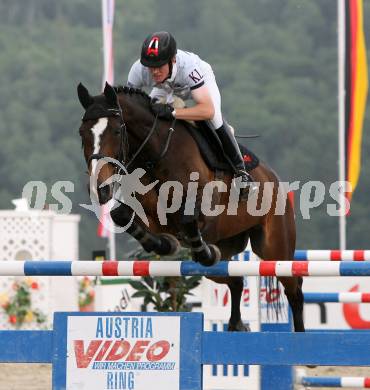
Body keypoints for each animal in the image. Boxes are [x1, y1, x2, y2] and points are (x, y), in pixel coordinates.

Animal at [76, 82, 304, 332]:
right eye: (82, 133)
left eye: (117, 131)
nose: (100, 189)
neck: (156, 155)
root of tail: (275, 178)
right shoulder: (153, 217)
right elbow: (120, 214)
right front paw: (166, 244)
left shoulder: (203, 213)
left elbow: (188, 221)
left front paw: (201, 250)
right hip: (225, 254)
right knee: (235, 280)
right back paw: (235, 324)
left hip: (275, 249)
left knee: (294, 291)